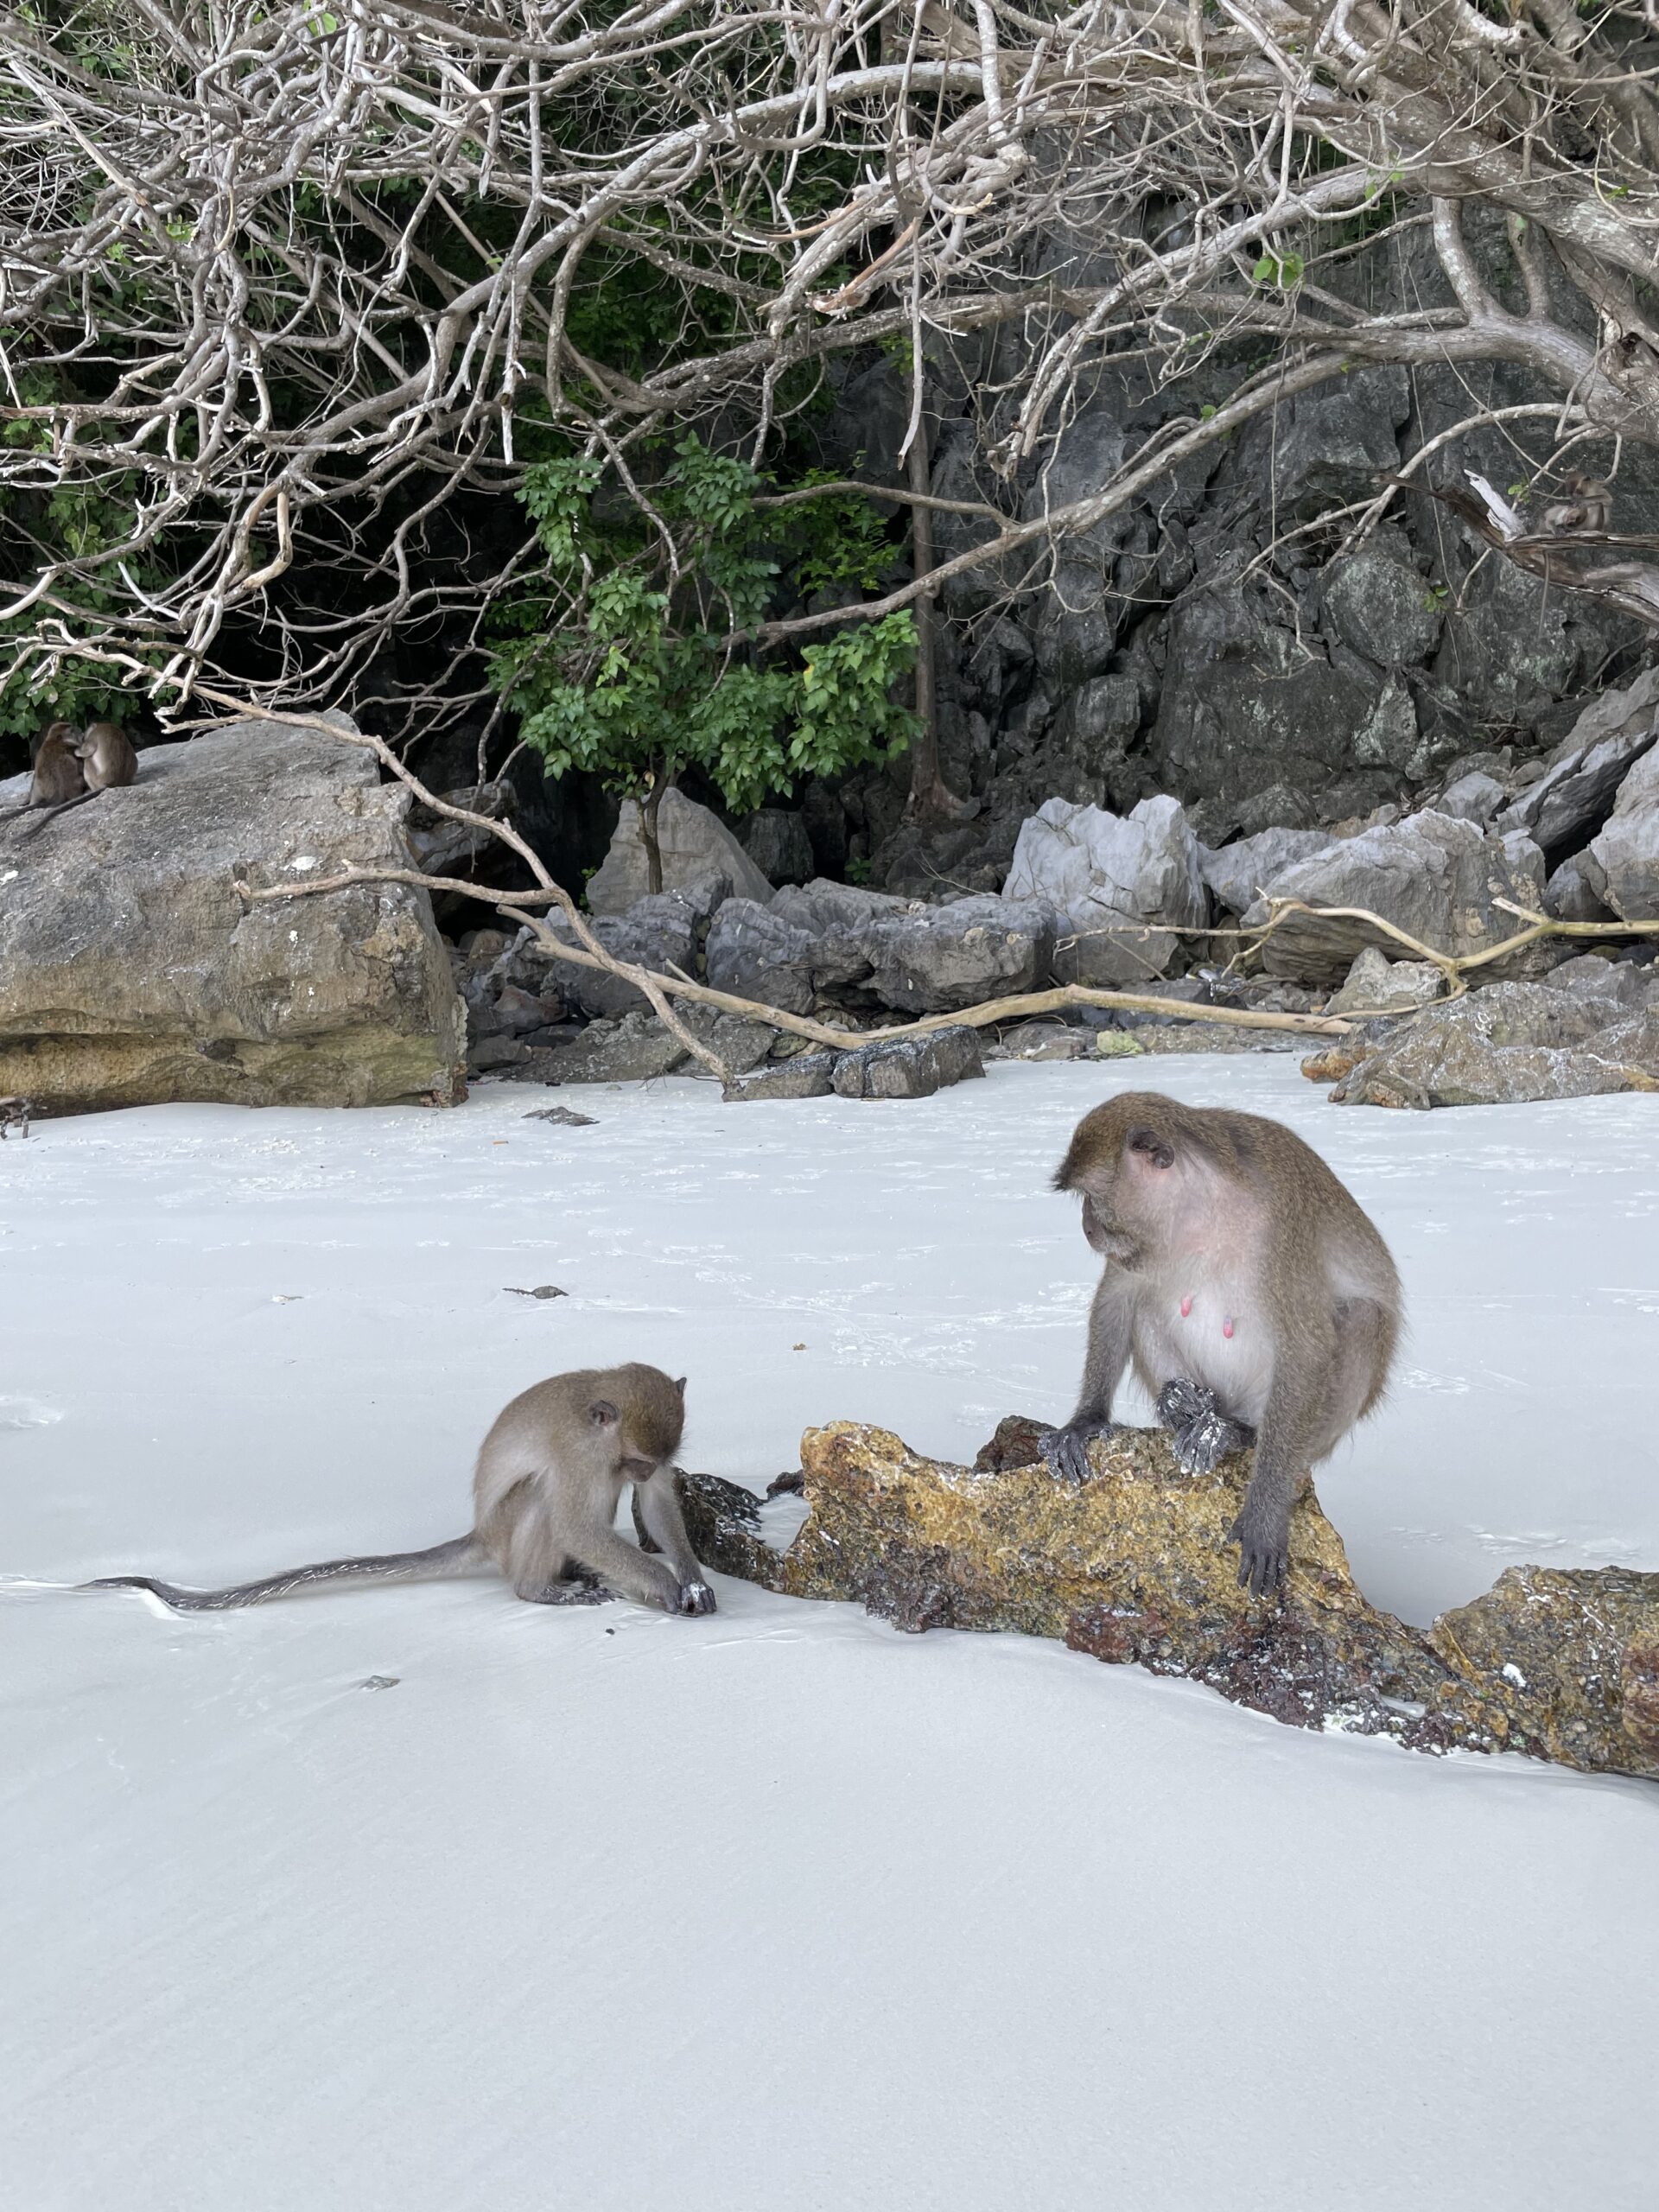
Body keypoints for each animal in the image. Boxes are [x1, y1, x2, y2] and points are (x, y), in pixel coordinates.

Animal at [83, 1364, 717, 1617]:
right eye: (636, 1460)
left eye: (654, 1463)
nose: (638, 1473)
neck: (598, 1421)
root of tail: (481, 1533)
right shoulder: (581, 1455)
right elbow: (573, 1523)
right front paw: (666, 1584)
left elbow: (658, 1504)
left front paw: (691, 1578)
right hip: (508, 1529)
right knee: (541, 1495)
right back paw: (538, 1590)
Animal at [1040, 1092, 1401, 1598]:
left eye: (1093, 1197)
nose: (1087, 1227)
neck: (1201, 1209)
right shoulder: (1145, 1249)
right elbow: (1118, 1297)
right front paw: (1086, 1421)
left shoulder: (1282, 1231)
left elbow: (1308, 1347)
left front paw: (1266, 1514)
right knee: (1147, 1306)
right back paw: (1184, 1407)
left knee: (1362, 1320)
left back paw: (1236, 1433)